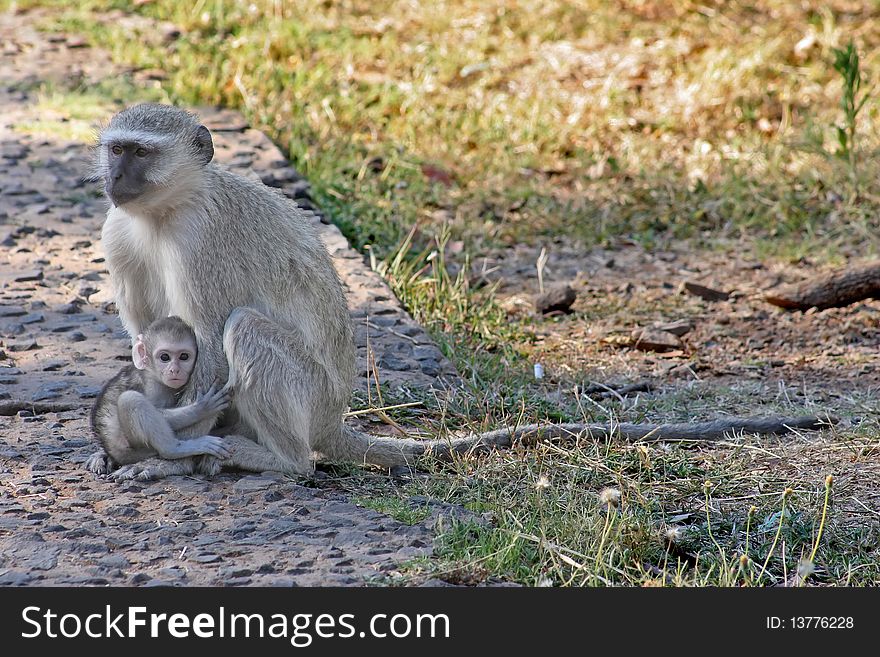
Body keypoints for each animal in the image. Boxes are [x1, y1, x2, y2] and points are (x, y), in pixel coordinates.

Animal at [88, 316, 234, 474]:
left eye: (184, 356)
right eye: (165, 357)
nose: (174, 370)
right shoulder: (154, 387)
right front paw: (201, 408)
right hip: (131, 448)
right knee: (130, 399)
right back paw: (174, 449)